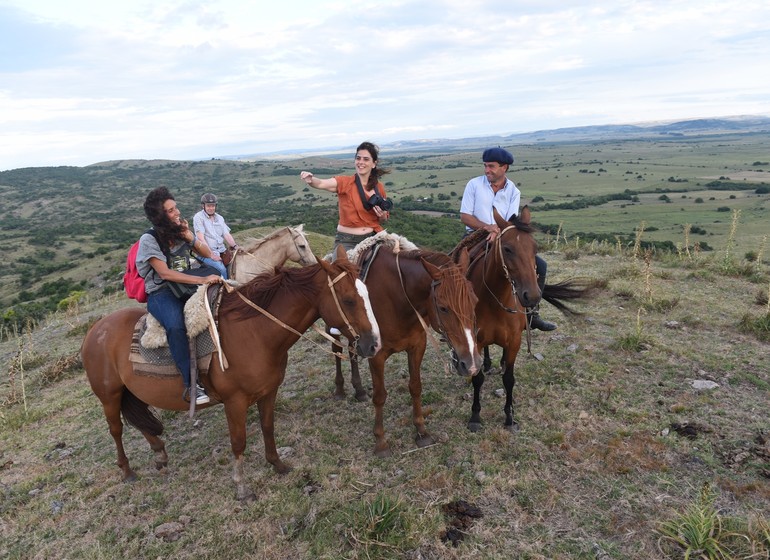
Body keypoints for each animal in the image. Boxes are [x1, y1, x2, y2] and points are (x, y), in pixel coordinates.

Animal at [82, 247, 380, 500]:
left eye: (367, 293)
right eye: (349, 300)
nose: (373, 344)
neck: (255, 332)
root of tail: (95, 330)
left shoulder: (269, 391)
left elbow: (268, 427)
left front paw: (278, 464)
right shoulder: (234, 402)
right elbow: (239, 442)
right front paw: (242, 487)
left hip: (130, 390)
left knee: (140, 420)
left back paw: (160, 455)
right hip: (109, 395)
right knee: (116, 429)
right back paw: (127, 471)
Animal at [332, 243, 476, 458]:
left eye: (475, 301)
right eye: (443, 308)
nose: (472, 364)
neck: (397, 298)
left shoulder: (417, 347)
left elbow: (415, 387)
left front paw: (421, 431)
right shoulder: (376, 355)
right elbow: (380, 396)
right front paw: (381, 442)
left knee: (351, 351)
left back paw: (359, 390)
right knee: (336, 350)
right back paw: (340, 389)